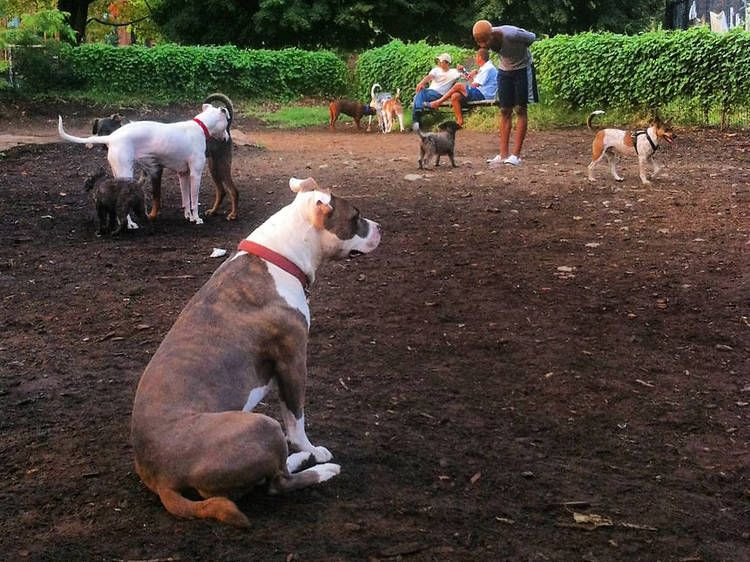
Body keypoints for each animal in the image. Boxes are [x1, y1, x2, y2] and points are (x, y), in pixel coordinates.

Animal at [57, 101, 229, 224]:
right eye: (227, 121)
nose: (227, 138)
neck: (200, 126)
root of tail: (112, 137)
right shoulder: (195, 174)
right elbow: (194, 200)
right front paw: (197, 219)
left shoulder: (183, 174)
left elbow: (186, 199)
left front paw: (188, 216)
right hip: (126, 172)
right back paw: (130, 224)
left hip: (117, 171)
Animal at [129, 176, 382, 524]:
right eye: (356, 217)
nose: (380, 227)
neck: (280, 258)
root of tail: (160, 478)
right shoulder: (293, 362)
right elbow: (296, 419)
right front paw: (312, 450)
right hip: (262, 425)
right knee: (277, 483)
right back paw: (320, 468)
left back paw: (295, 460)